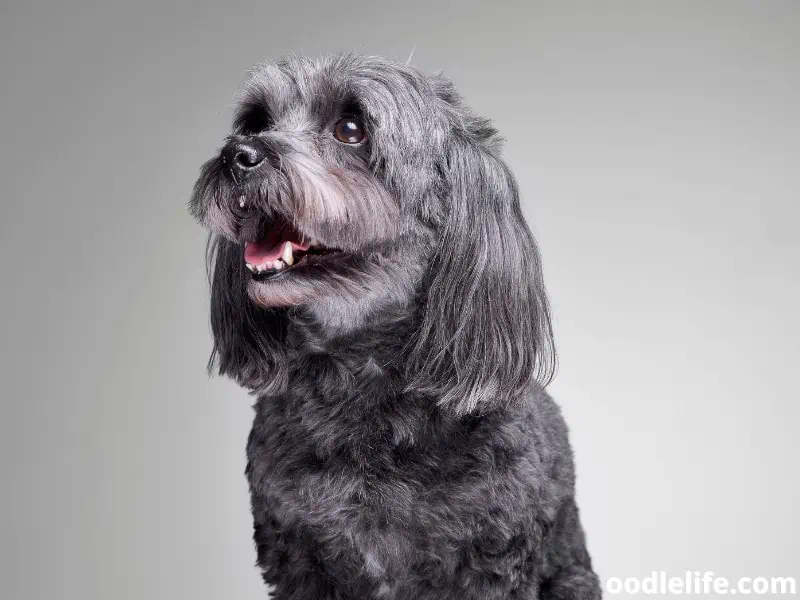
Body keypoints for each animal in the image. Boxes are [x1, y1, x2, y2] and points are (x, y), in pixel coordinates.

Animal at [189, 52, 600, 600]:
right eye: (255, 122)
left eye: (350, 129)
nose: (239, 154)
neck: (358, 378)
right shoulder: (295, 554)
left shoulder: (490, 560)